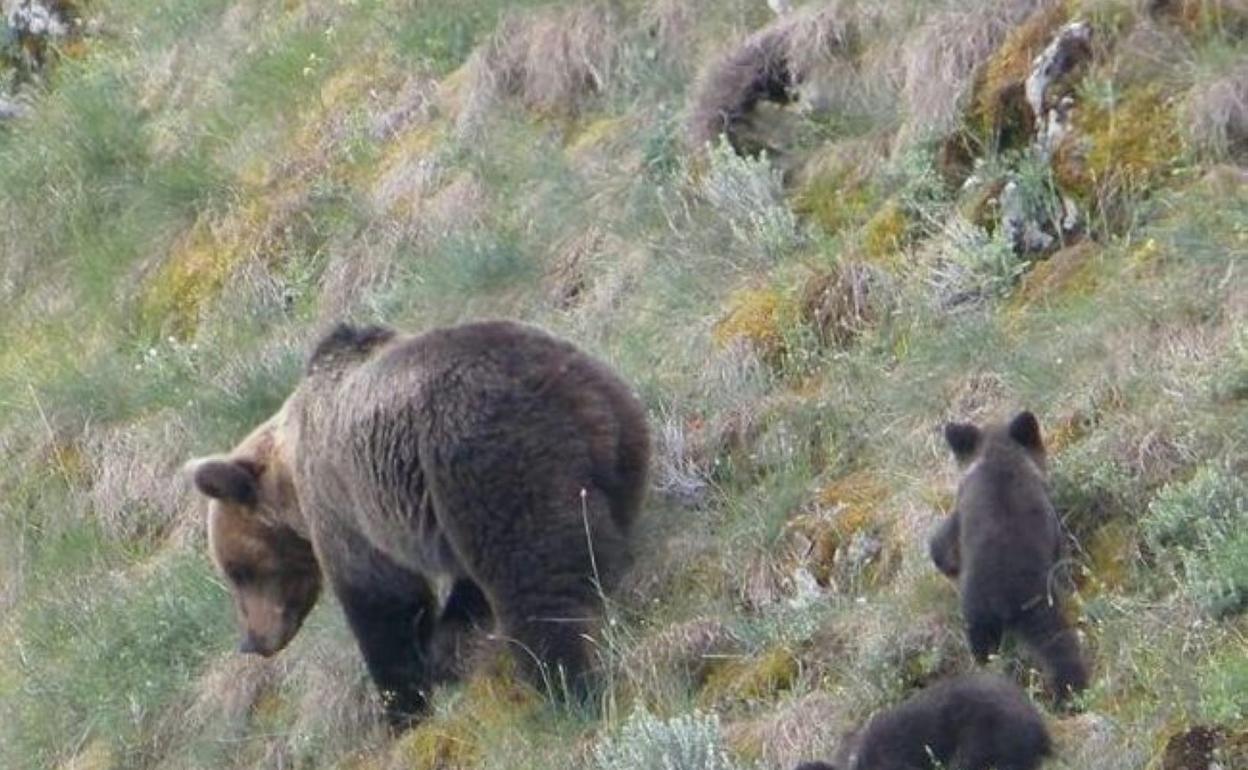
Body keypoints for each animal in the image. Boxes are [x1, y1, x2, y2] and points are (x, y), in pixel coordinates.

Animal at [189, 319, 653, 728]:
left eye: (238, 571)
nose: (252, 641)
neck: (290, 483)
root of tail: (560, 384)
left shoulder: (344, 508)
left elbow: (383, 600)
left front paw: (401, 706)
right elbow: (462, 589)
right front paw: (447, 651)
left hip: (487, 455)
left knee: (532, 578)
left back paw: (565, 686)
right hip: (620, 440)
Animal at [933, 411, 1088, 698]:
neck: (998, 454)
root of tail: (999, 598)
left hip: (978, 619)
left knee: (983, 650)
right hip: (1036, 605)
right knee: (1058, 645)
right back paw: (1071, 690)